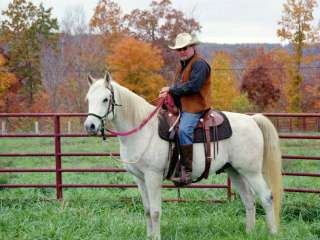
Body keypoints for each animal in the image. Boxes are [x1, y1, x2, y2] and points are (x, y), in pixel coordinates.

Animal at [84, 72, 282, 238]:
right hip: (234, 170)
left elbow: (155, 211)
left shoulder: (153, 176)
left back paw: (273, 232)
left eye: (105, 99)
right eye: (88, 99)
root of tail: (252, 119)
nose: (90, 126)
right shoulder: (139, 178)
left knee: (266, 197)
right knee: (249, 200)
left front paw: (156, 237)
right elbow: (147, 210)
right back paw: (249, 232)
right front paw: (149, 236)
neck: (144, 130)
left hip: (251, 172)